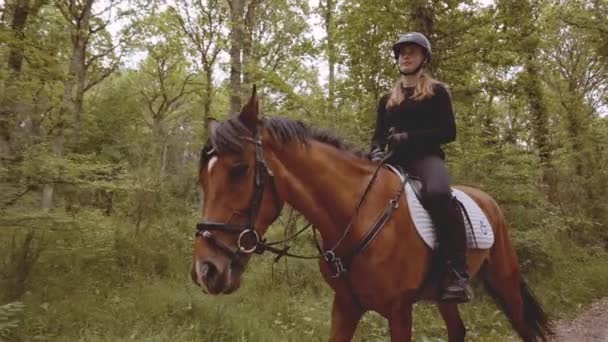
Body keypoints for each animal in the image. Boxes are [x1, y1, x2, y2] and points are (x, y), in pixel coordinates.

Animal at [192, 88, 552, 342]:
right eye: (203, 178)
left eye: (239, 170)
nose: (205, 271)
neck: (356, 216)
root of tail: (487, 200)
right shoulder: (345, 307)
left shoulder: (399, 311)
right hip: (445, 296)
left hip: (505, 280)